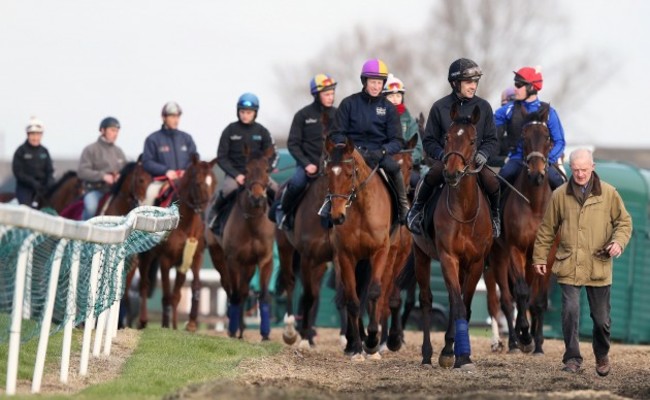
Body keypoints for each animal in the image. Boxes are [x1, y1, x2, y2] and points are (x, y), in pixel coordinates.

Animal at [137, 154, 217, 331]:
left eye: (213, 182)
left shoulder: (193, 259)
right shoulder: (165, 260)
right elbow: (167, 295)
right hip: (146, 257)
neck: (185, 224)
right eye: (198, 182)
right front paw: (166, 325)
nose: (205, 208)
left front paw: (190, 323)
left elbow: (193, 287)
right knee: (144, 285)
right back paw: (143, 320)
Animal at [207, 146, 276, 340]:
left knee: (244, 290)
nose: (257, 198)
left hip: (249, 265)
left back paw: (242, 329)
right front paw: (231, 329)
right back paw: (234, 324)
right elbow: (235, 294)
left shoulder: (265, 259)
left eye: (267, 170)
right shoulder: (233, 260)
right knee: (230, 289)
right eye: (246, 170)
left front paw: (265, 333)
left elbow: (263, 295)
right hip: (219, 258)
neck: (252, 222)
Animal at [323, 137, 395, 361]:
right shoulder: (346, 257)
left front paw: (371, 342)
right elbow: (353, 301)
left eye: (350, 173)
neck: (362, 208)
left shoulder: (380, 252)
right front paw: (356, 348)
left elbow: (374, 293)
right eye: (326, 173)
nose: (337, 216)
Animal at [412, 103, 493, 370]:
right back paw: (428, 354)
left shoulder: (475, 262)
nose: (451, 173)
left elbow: (464, 305)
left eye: (473, 140)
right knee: (427, 300)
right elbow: (457, 306)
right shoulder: (448, 257)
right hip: (420, 254)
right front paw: (461, 355)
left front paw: (455, 353)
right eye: (447, 137)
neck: (464, 211)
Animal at [485, 104, 557, 354]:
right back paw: (513, 341)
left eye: (548, 138)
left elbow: (539, 300)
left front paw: (538, 343)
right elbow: (522, 293)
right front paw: (524, 335)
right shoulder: (515, 249)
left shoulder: (546, 254)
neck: (534, 204)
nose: (537, 175)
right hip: (497, 258)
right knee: (505, 300)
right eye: (524, 139)